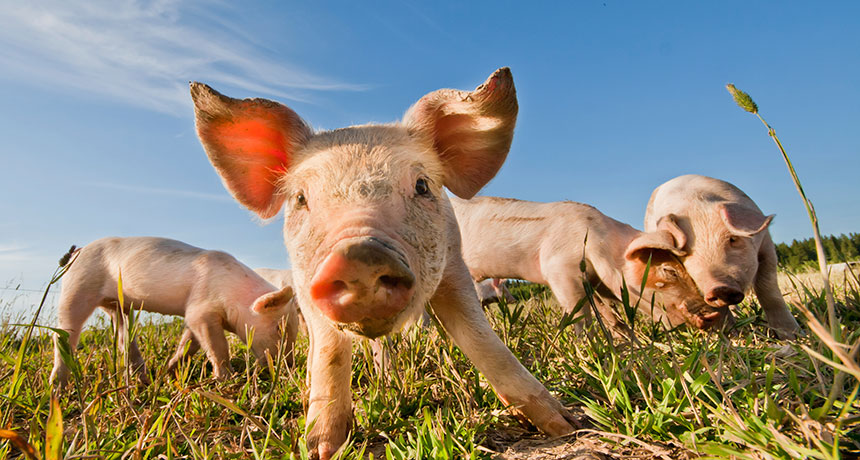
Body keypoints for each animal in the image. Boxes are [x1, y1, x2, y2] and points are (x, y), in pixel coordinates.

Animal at [49, 237, 297, 386]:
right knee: (64, 334)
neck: (234, 294)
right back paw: (57, 386)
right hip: (77, 285)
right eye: (278, 328)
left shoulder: (194, 315)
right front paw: (225, 379)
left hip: (119, 306)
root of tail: (78, 250)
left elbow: (189, 343)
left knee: (123, 337)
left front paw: (168, 372)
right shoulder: (201, 307)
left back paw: (142, 377)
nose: (290, 366)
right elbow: (217, 346)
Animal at [190, 68, 576, 459]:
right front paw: (322, 448)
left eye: (422, 185)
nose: (358, 255)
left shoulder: (454, 266)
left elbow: (481, 338)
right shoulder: (304, 284)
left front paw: (565, 426)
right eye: (300, 198)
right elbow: (329, 351)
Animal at [451, 196, 725, 332]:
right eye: (669, 271)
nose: (713, 315)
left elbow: (610, 315)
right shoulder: (559, 270)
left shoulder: (594, 282)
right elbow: (581, 315)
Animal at [644, 174, 801, 339]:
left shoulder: (766, 244)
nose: (719, 288)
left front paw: (793, 336)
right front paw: (731, 336)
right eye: (685, 254)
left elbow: (768, 289)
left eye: (732, 239)